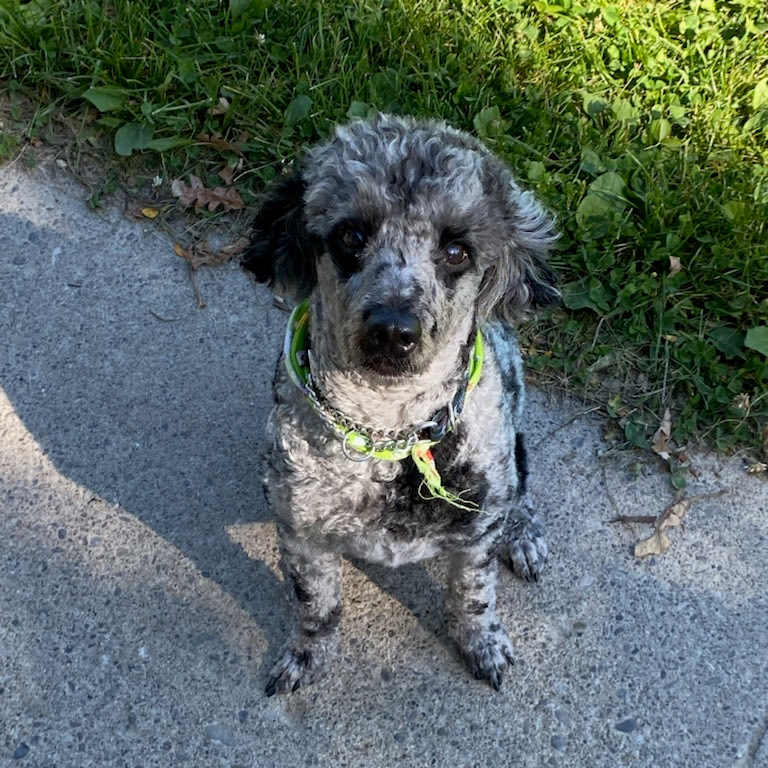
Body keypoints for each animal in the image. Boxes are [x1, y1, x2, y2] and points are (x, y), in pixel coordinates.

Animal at [244, 114, 560, 696]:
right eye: (351, 234)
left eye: (457, 250)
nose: (393, 330)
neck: (391, 436)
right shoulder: (300, 535)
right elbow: (316, 606)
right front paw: (306, 655)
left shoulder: (476, 537)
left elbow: (474, 599)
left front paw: (483, 644)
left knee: (522, 491)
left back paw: (524, 535)